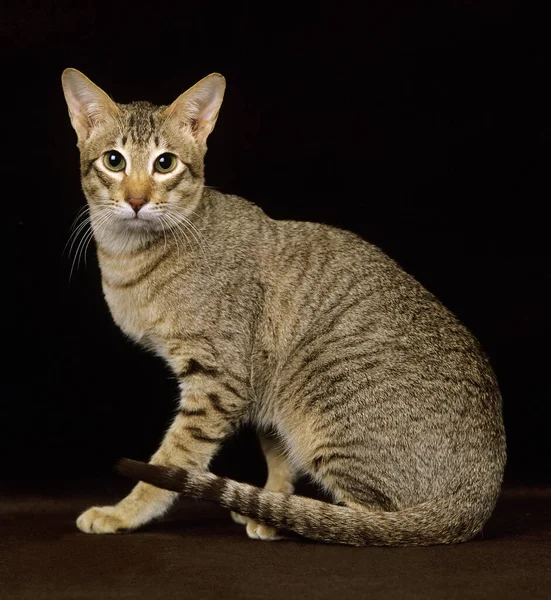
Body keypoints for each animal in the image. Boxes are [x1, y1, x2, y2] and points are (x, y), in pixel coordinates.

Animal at [62, 68, 506, 548]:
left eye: (165, 164)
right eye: (114, 161)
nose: (137, 200)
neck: (130, 259)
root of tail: (480, 495)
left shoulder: (220, 377)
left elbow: (172, 459)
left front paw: (126, 512)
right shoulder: (260, 382)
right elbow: (276, 453)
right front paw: (273, 496)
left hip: (318, 389)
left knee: (370, 524)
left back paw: (292, 520)